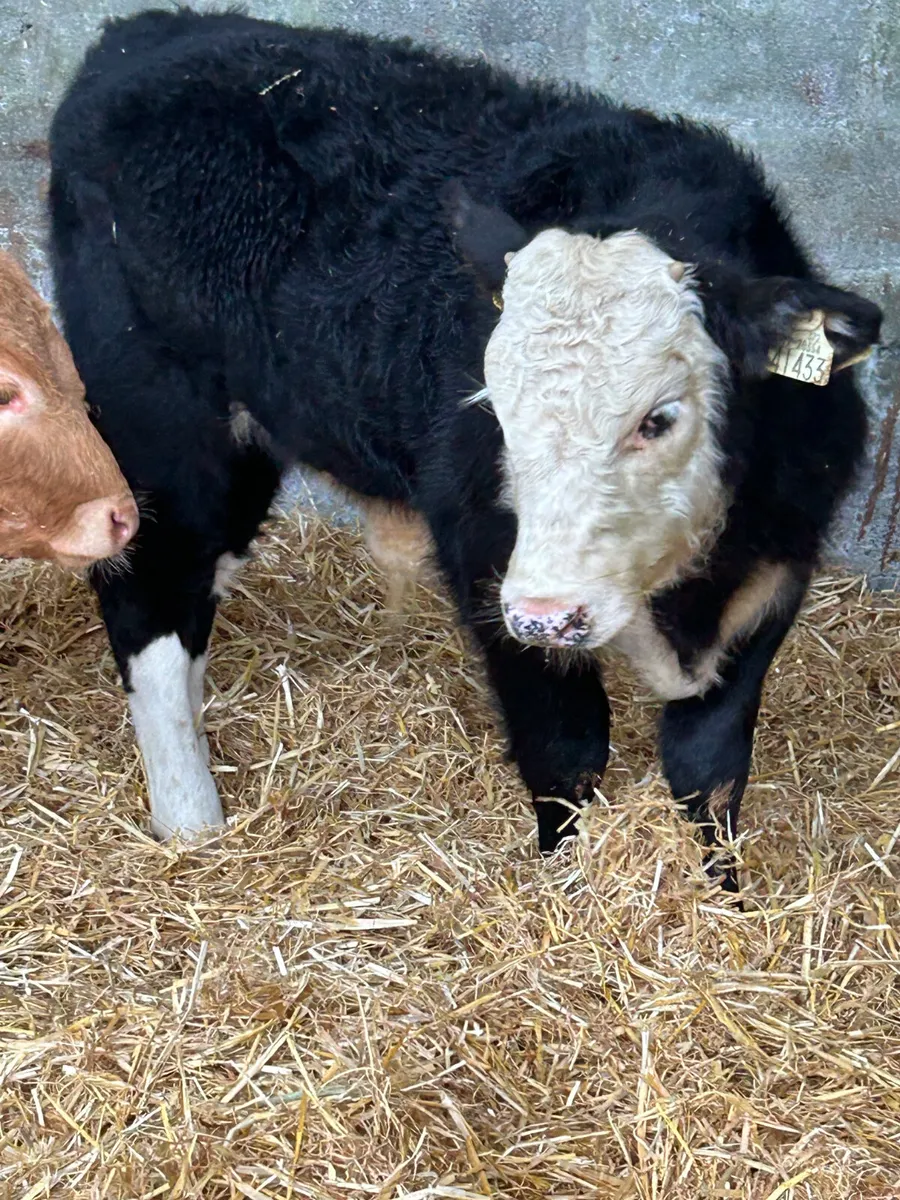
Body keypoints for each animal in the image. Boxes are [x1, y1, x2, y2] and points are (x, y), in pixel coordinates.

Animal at [47, 8, 882, 887]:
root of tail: (144, 32)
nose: (547, 612)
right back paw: (194, 827)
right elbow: (565, 753)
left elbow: (709, 769)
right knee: (152, 601)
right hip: (163, 429)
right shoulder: (487, 563)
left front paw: (720, 893)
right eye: (498, 412)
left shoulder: (774, 575)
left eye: (658, 418)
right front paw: (563, 889)